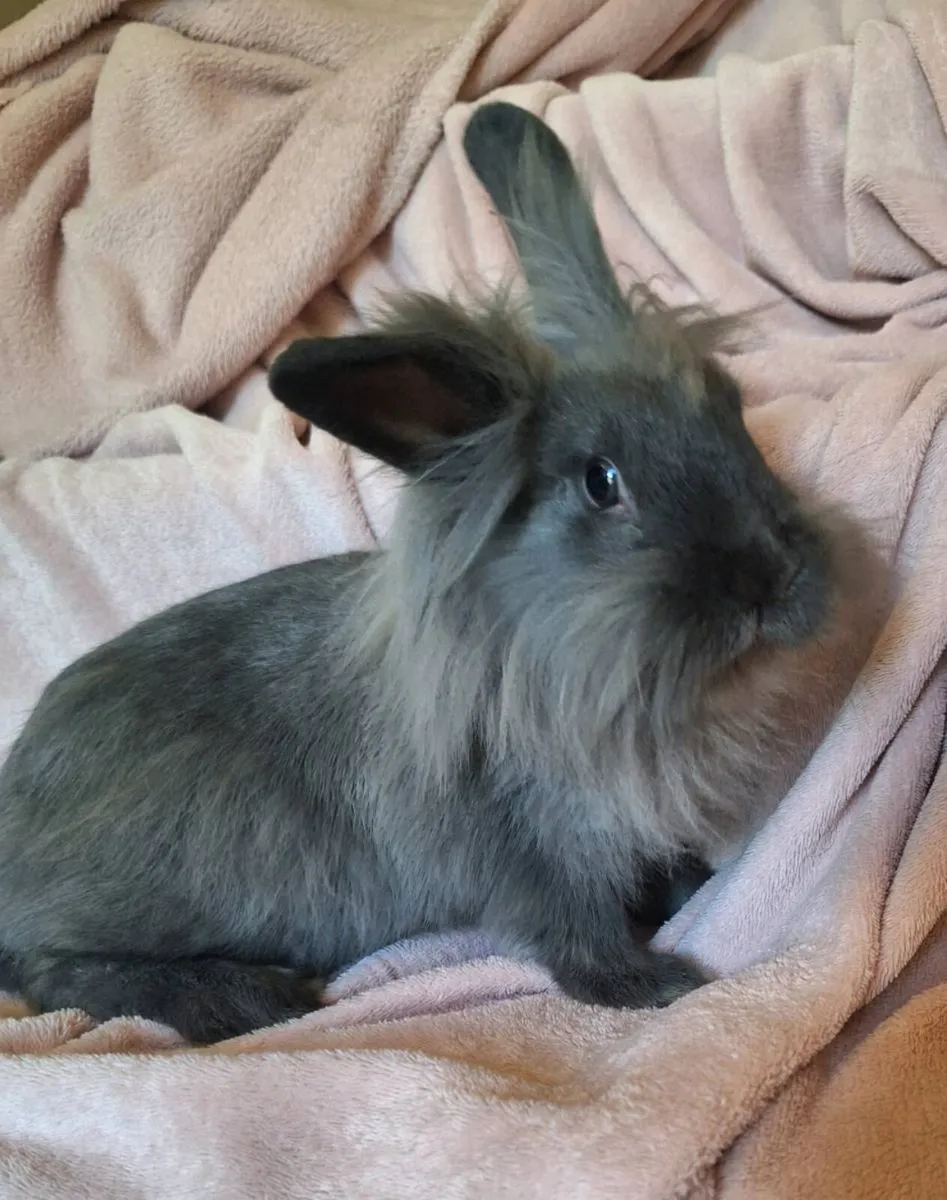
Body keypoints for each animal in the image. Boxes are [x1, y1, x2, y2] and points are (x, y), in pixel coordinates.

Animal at [0, 101, 860, 1045]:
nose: (770, 582)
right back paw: (241, 996)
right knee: (52, 970)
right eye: (601, 482)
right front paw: (656, 983)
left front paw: (695, 888)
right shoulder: (529, 855)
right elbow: (576, 936)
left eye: (731, 412)